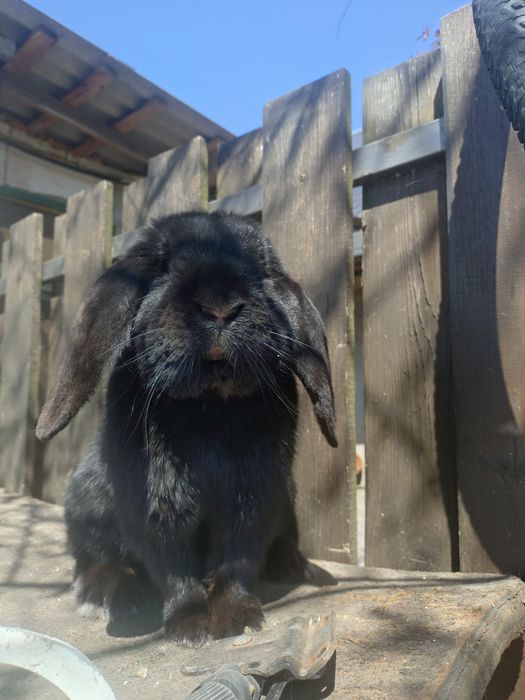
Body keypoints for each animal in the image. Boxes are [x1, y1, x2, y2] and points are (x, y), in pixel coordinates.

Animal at [36, 211, 337, 646]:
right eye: (162, 268)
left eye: (262, 271)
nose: (220, 308)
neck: (208, 404)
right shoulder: (155, 503)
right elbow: (172, 563)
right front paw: (189, 624)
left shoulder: (255, 497)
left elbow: (238, 559)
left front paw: (236, 617)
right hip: (86, 503)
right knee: (92, 558)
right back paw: (107, 595)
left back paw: (300, 568)